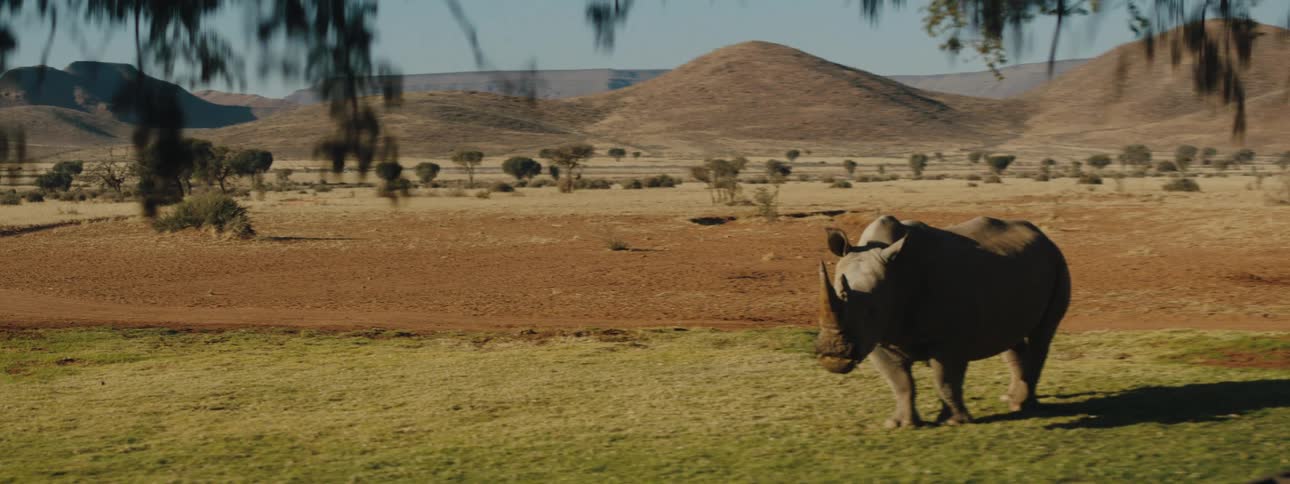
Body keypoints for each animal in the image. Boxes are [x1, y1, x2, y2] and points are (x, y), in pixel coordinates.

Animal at [816, 215, 1070, 428]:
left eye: (871, 310)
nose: (832, 353)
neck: (895, 275)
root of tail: (1042, 235)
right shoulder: (875, 338)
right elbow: (900, 381)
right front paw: (899, 425)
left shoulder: (949, 339)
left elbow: (945, 380)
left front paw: (954, 422)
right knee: (1010, 337)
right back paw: (1010, 398)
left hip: (1058, 262)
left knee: (1042, 335)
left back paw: (1022, 405)